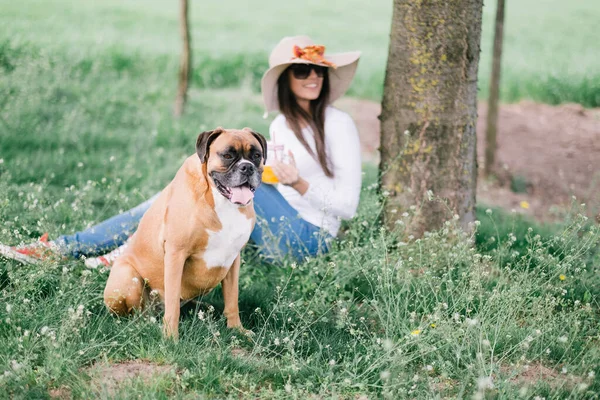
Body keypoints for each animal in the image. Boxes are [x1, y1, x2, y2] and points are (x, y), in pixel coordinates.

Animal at [103, 126, 268, 340]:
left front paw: (236, 329)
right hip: (126, 277)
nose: (247, 167)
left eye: (256, 156)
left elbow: (232, 298)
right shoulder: (176, 254)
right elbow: (173, 302)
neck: (218, 198)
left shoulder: (233, 260)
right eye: (227, 155)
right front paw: (171, 338)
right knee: (138, 313)